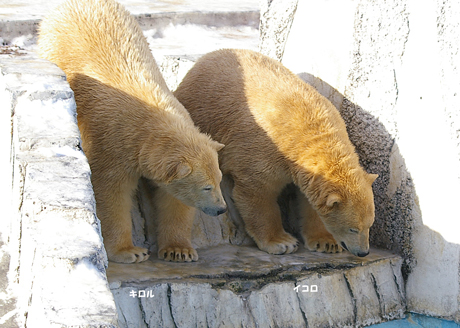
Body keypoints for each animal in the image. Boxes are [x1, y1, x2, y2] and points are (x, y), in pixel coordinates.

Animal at [38, 0, 227, 262]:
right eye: (207, 187)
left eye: (220, 180)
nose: (221, 209)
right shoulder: (111, 142)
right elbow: (111, 192)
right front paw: (130, 252)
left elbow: (172, 199)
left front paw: (179, 250)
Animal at [174, 50, 380, 258]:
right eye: (353, 229)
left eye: (369, 225)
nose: (363, 252)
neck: (311, 132)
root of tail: (205, 58)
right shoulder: (264, 151)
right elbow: (258, 193)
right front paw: (282, 242)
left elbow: (310, 201)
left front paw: (326, 242)